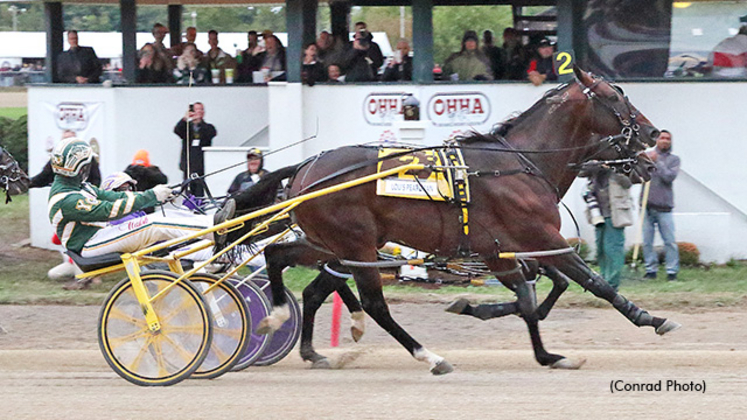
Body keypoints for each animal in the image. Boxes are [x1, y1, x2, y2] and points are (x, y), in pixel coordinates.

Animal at [251, 68, 684, 374]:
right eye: (614, 97)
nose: (651, 138)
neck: (519, 165)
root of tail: (304, 169)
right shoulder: (541, 237)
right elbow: (592, 283)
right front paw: (650, 317)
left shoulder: (501, 252)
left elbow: (530, 299)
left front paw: (544, 353)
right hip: (355, 243)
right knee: (374, 304)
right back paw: (428, 356)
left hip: (332, 243)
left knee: (285, 263)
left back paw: (294, 329)